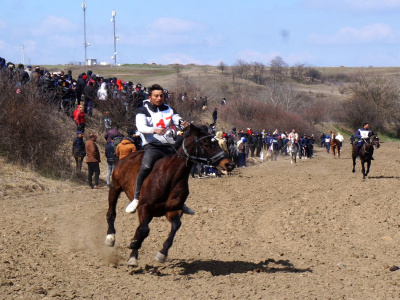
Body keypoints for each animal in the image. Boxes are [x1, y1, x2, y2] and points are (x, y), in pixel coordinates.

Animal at [104, 125, 234, 266]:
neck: (170, 176)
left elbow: (175, 226)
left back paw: (133, 255)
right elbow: (144, 230)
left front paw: (161, 253)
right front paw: (133, 244)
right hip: (115, 188)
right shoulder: (144, 207)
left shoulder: (171, 209)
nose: (229, 164)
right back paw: (110, 238)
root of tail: (125, 158)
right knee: (111, 213)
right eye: (206, 144)